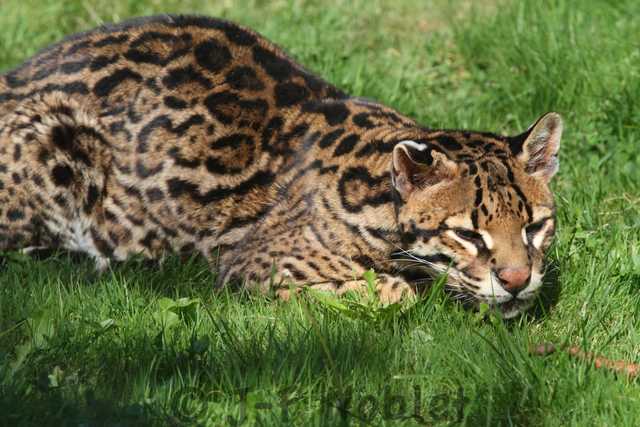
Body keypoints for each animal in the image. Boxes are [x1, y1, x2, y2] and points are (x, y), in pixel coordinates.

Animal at [0, 15, 562, 318]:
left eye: (535, 226)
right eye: (466, 234)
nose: (516, 279)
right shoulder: (257, 266)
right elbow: (393, 290)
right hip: (61, 141)